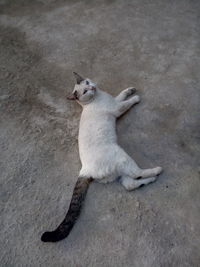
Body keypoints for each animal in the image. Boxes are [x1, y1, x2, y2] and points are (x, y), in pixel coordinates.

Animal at [41, 73, 162, 243]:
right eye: (85, 91)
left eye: (87, 82)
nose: (92, 87)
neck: (97, 97)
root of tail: (85, 170)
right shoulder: (116, 108)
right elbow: (127, 102)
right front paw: (136, 97)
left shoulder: (114, 100)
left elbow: (122, 94)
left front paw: (130, 90)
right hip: (122, 156)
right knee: (136, 174)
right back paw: (156, 171)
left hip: (120, 169)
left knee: (130, 184)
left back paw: (151, 180)